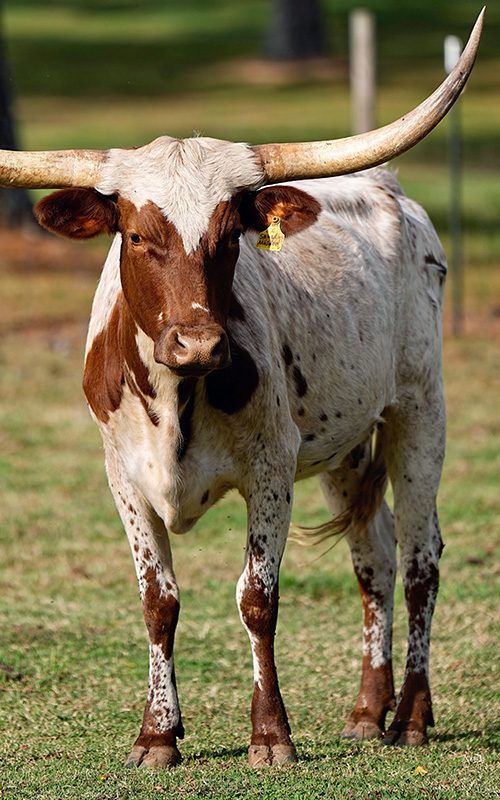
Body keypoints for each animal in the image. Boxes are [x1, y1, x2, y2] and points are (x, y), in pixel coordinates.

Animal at [0, 7, 484, 768]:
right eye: (135, 235)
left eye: (232, 234)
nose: (198, 343)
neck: (177, 399)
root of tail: (395, 193)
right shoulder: (122, 477)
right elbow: (158, 600)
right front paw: (157, 736)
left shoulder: (270, 469)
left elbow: (257, 598)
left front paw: (271, 736)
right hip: (345, 447)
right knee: (373, 557)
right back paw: (366, 713)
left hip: (418, 410)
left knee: (418, 560)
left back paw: (410, 714)